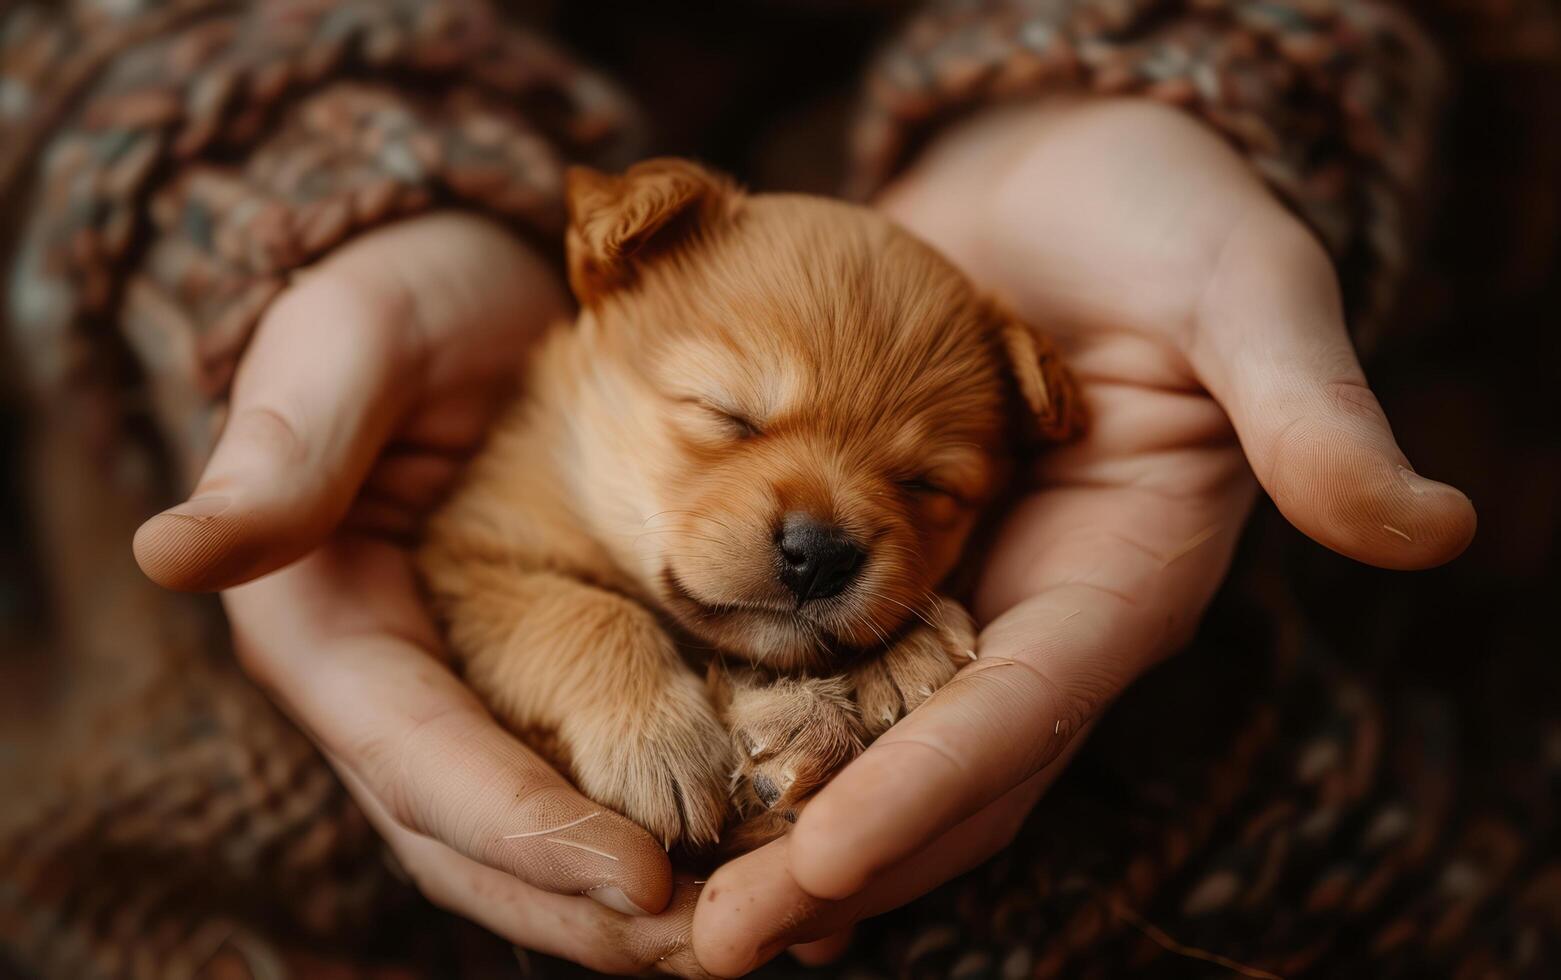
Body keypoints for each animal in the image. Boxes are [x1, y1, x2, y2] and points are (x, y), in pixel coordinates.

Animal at [415, 156, 1080, 855]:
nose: (821, 555)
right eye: (727, 414)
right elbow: (585, 611)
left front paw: (901, 652)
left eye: (924, 484)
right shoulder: (472, 558)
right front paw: (661, 742)